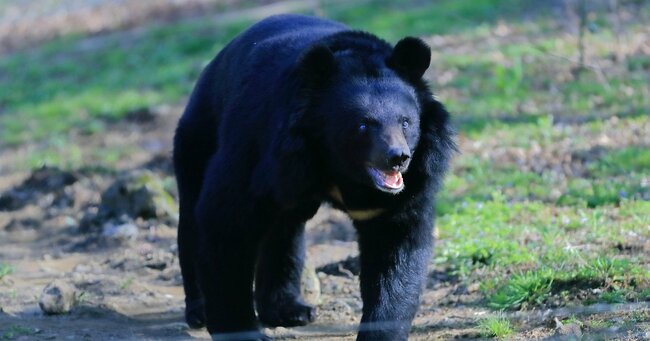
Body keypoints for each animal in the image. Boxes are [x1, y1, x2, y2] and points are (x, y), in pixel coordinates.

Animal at [175, 13, 454, 340]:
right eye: (362, 125)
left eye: (406, 122)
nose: (397, 158)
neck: (336, 165)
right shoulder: (260, 148)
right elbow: (226, 220)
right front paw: (242, 330)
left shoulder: (404, 191)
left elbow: (396, 248)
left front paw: (380, 332)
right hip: (200, 135)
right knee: (193, 215)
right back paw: (199, 311)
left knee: (284, 230)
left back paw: (289, 309)